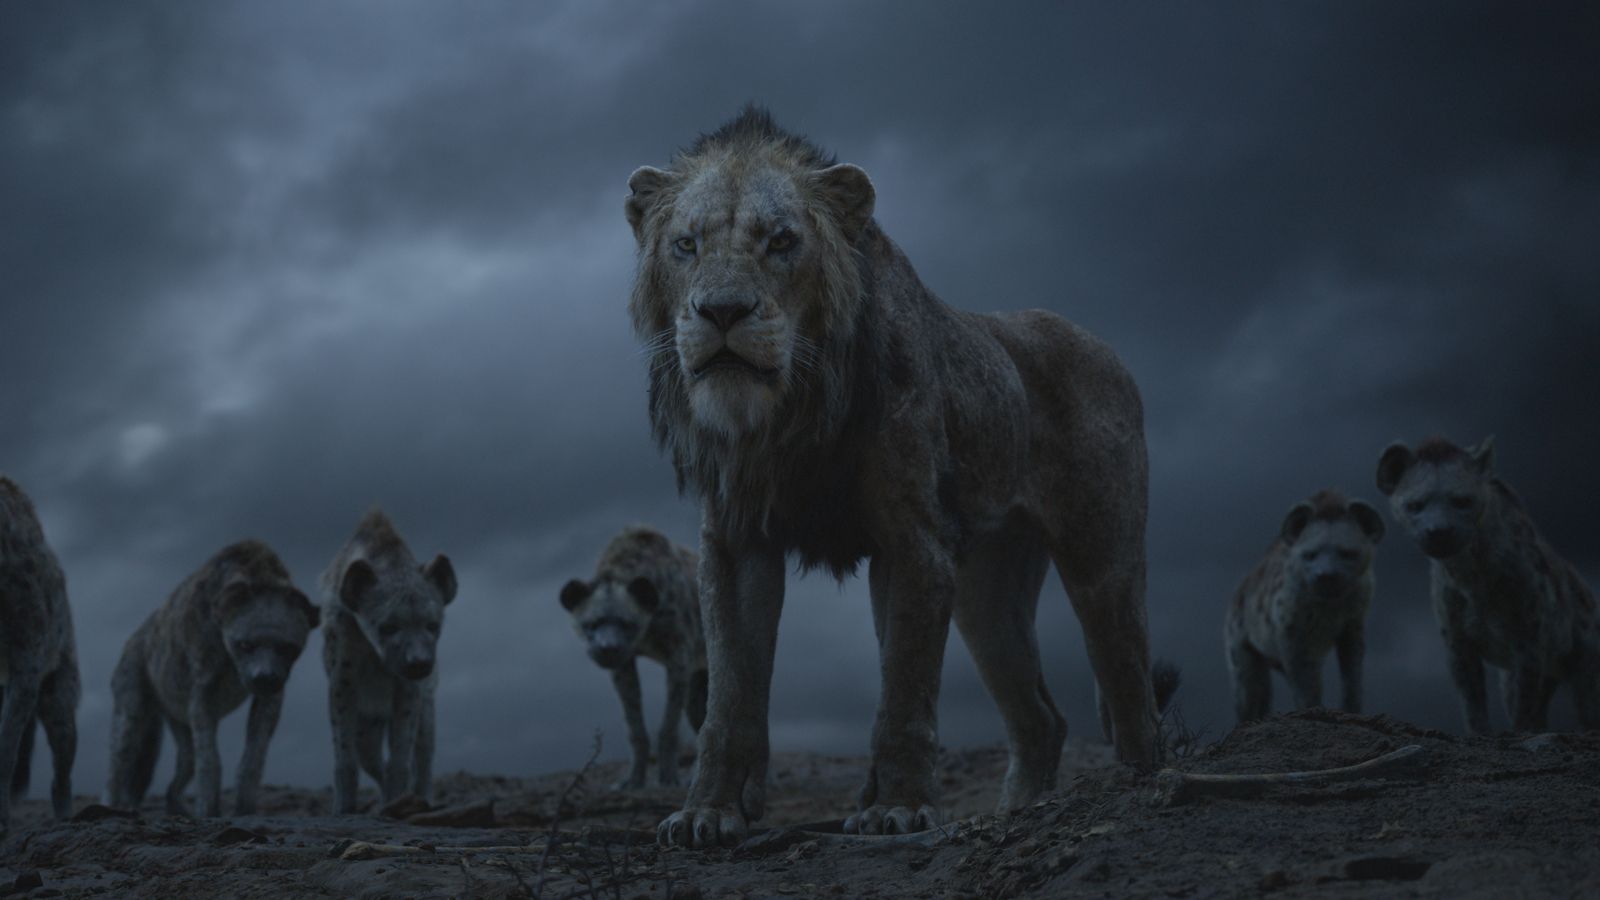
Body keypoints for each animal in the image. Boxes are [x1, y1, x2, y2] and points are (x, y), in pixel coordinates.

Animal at [626, 107, 1160, 847]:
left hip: (1100, 558)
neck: (789, 413)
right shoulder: (735, 545)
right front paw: (709, 811)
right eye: (685, 244)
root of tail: (1109, 351)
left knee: (1129, 678)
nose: (723, 312)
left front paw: (898, 808)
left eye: (782, 241)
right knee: (1041, 719)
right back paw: (1018, 811)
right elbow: (729, 696)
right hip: (986, 593)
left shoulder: (912, 541)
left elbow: (905, 686)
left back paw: (1138, 786)